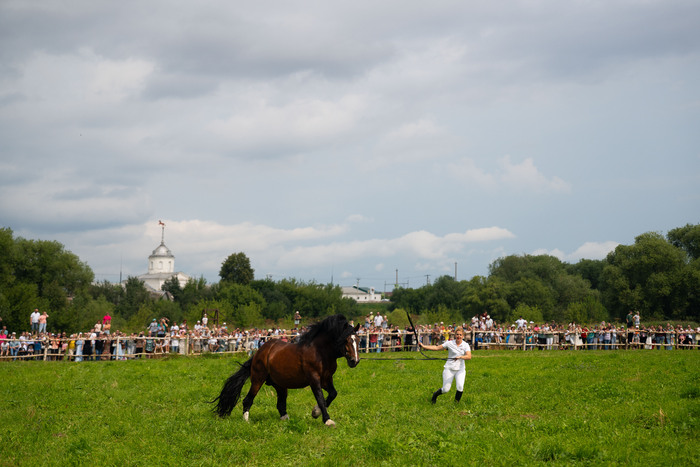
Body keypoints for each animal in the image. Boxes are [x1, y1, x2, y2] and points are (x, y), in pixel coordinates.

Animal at [213, 314, 360, 426]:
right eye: (345, 340)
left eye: (358, 340)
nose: (355, 361)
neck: (320, 352)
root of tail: (259, 352)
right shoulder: (314, 379)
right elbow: (320, 397)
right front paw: (327, 419)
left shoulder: (327, 379)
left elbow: (333, 394)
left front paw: (315, 412)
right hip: (257, 380)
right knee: (248, 400)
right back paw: (246, 421)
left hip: (280, 385)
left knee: (281, 403)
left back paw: (285, 419)